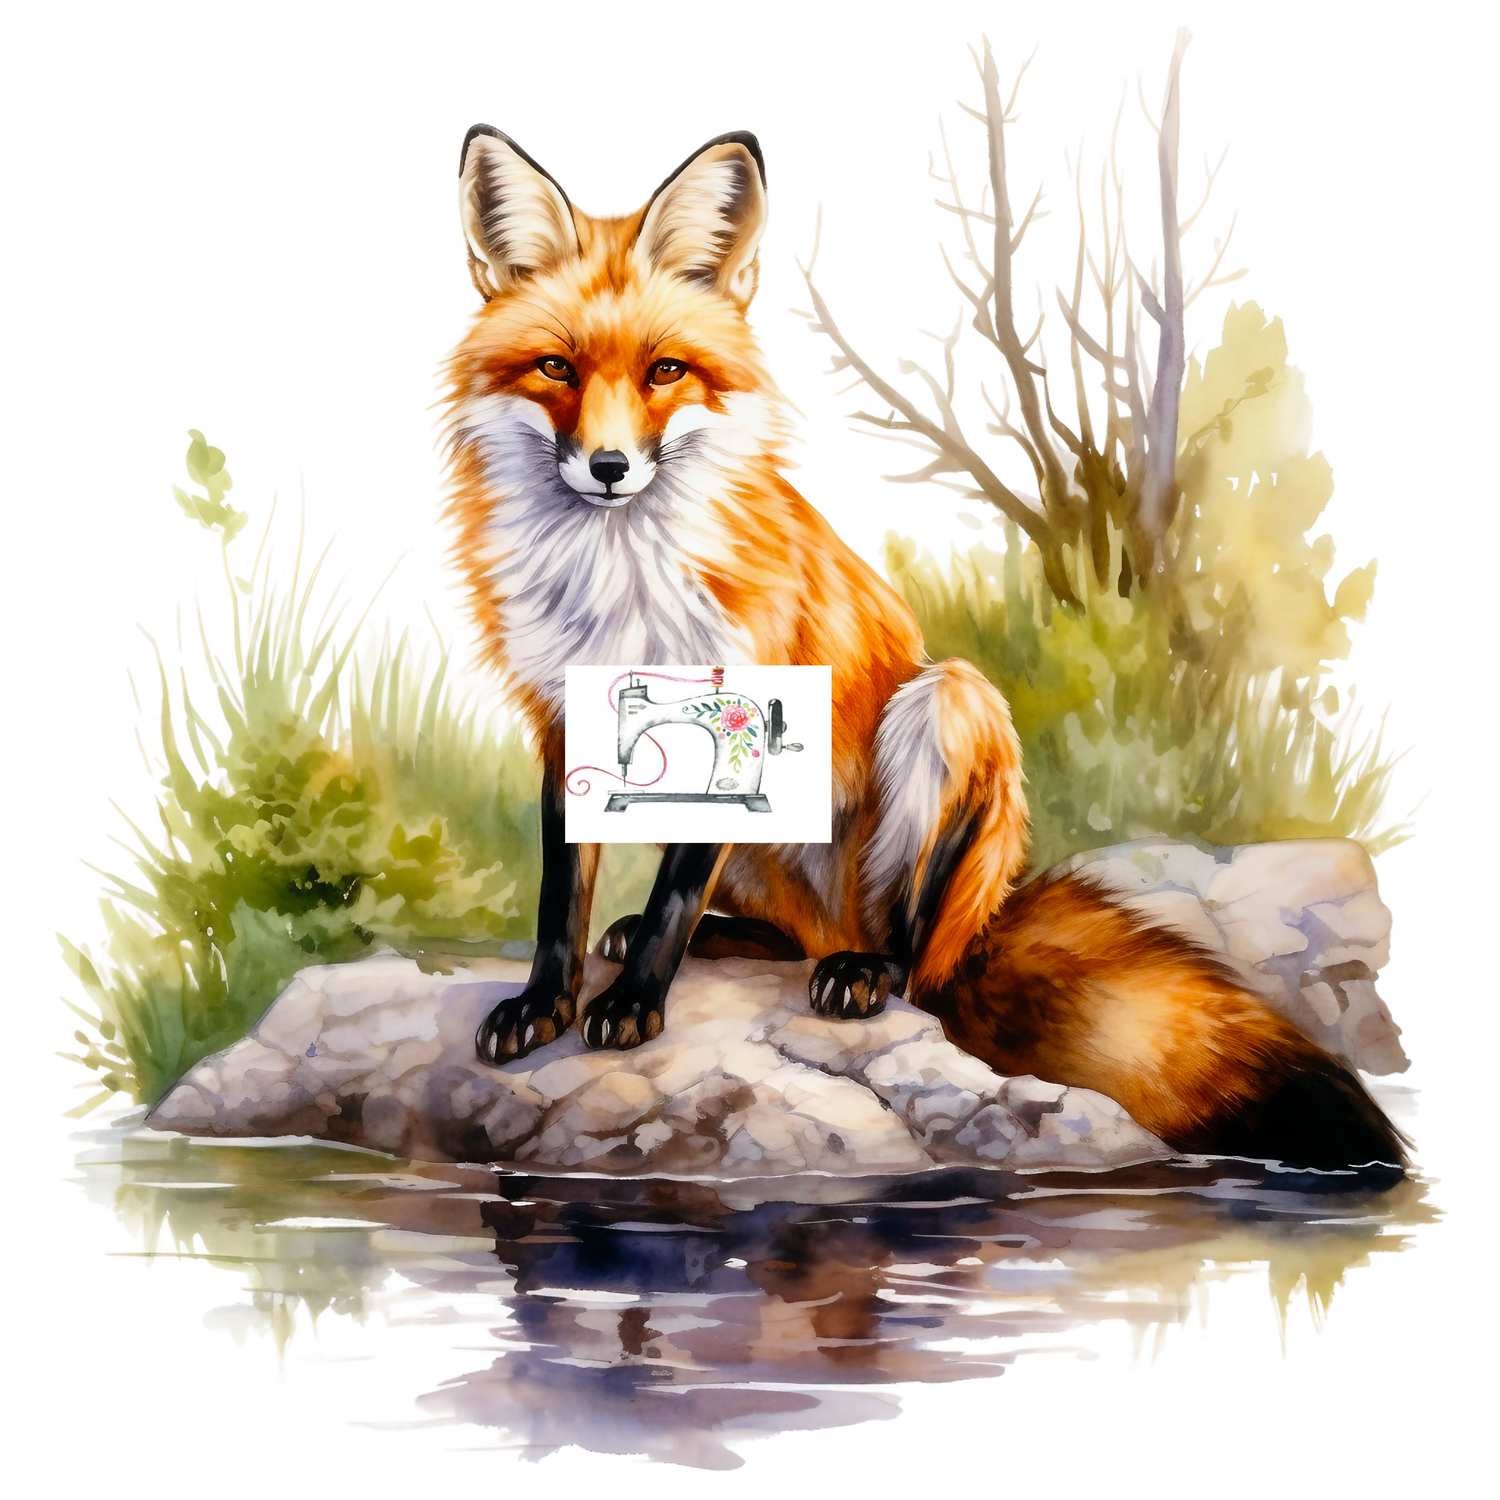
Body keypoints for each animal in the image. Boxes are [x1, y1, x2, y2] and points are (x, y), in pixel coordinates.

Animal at [432, 123, 1405, 1172]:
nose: (609, 467)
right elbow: (559, 900)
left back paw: (866, 969)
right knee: (788, 934)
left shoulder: (743, 700)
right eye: (555, 370)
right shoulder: (566, 719)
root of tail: (983, 923)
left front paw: (632, 1005)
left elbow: (671, 903)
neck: (613, 579)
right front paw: (544, 1005)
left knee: (904, 955)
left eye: (664, 372)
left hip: (950, 706)